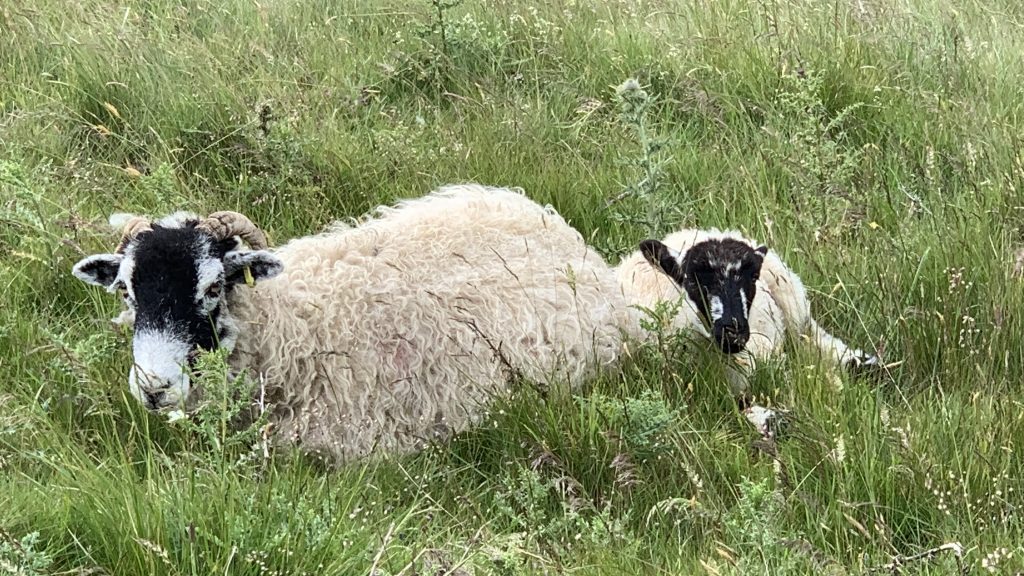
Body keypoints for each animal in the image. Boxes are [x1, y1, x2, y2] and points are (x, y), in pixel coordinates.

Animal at [615, 228, 881, 395]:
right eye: (692, 281)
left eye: (752, 277)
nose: (733, 332)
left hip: (792, 301)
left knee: (812, 336)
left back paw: (862, 363)